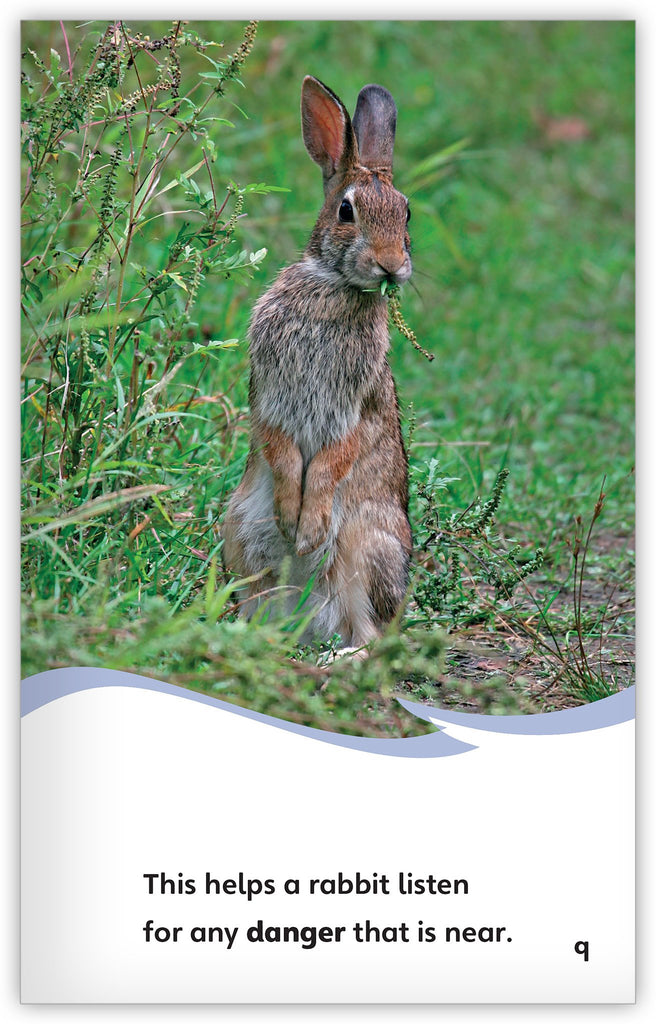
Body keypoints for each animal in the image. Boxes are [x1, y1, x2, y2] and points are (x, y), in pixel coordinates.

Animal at [222, 75, 413, 652]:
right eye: (347, 212)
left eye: (407, 213)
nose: (391, 265)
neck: (336, 286)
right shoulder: (269, 396)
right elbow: (282, 450)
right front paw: (293, 522)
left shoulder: (355, 407)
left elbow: (332, 460)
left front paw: (306, 532)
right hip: (238, 534)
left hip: (367, 546)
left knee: (371, 638)